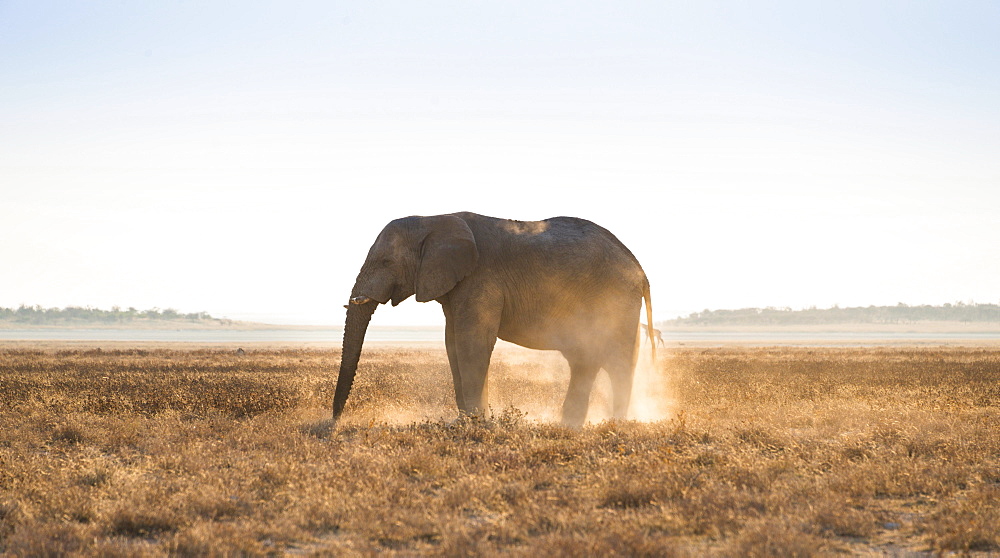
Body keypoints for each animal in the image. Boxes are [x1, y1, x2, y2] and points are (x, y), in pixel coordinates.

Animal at [336, 212, 656, 426]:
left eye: (386, 262)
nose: (334, 421)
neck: (433, 219)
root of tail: (640, 269)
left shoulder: (481, 278)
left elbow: (472, 343)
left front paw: (477, 422)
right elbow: (453, 343)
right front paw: (467, 421)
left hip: (616, 298)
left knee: (616, 360)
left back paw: (616, 424)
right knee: (588, 359)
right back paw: (571, 425)